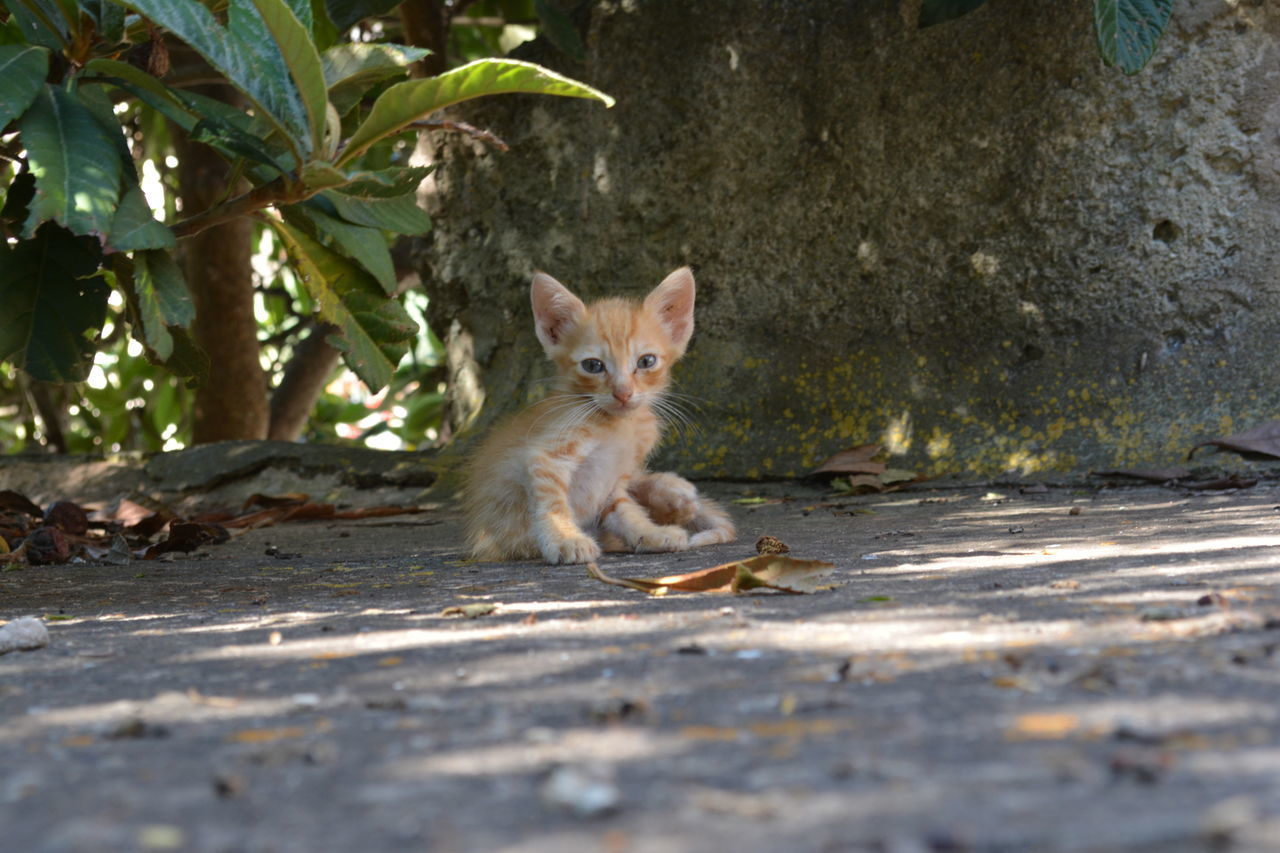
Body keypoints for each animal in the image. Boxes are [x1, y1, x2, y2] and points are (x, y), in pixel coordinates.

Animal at [465, 262, 737, 560]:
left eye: (646, 361)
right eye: (593, 365)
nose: (623, 393)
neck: (617, 427)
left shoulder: (614, 482)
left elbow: (626, 511)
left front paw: (650, 533)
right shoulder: (546, 457)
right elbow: (553, 505)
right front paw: (565, 539)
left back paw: (673, 496)